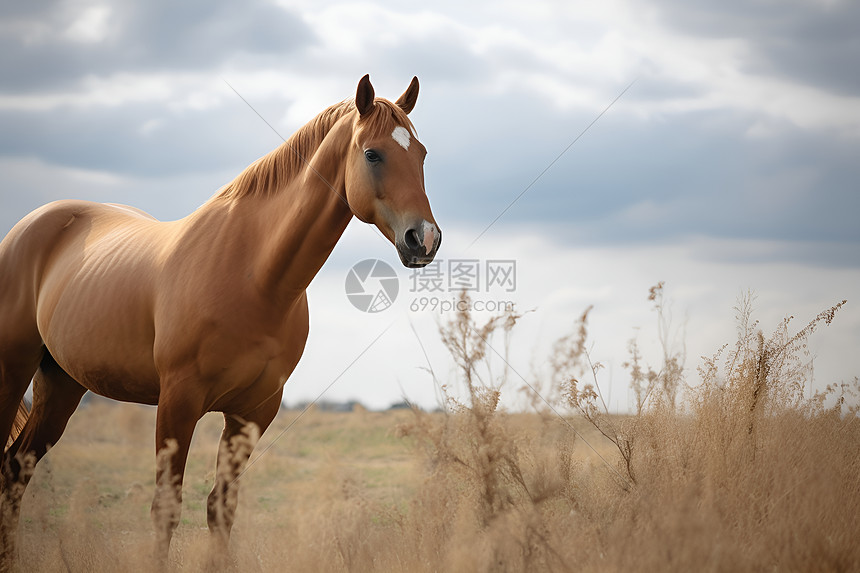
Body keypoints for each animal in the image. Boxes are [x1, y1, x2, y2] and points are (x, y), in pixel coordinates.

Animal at [0, 75, 440, 564]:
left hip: (61, 383)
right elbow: (166, 508)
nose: (424, 239)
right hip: (12, 371)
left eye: (421, 154)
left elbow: (221, 508)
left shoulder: (253, 412)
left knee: (16, 470)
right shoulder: (178, 401)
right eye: (373, 154)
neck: (253, 274)